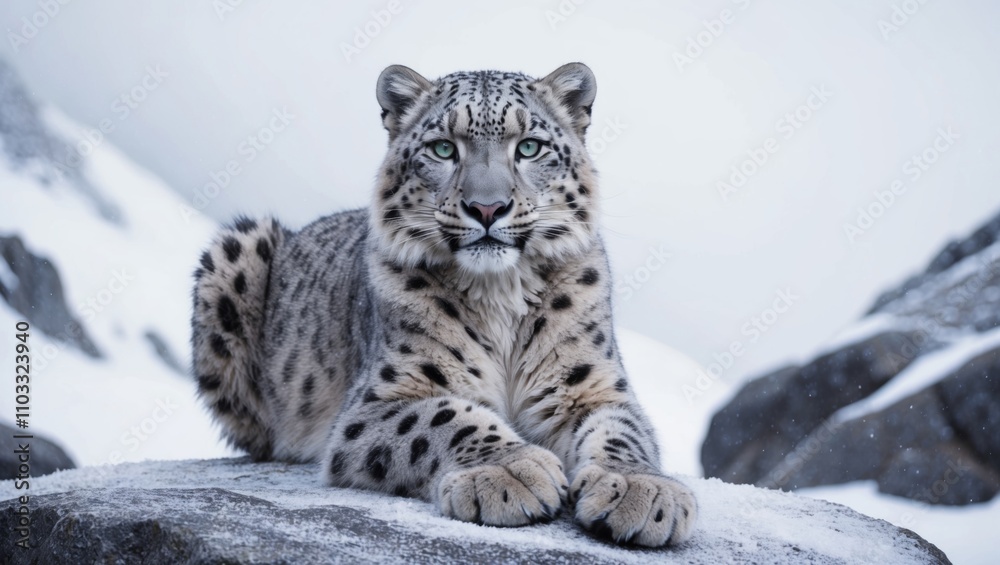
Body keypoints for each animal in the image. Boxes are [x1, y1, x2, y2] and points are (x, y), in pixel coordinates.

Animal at [190, 63, 697, 547]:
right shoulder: (377, 401)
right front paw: (510, 470)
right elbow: (443, 417)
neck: (501, 297)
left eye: (529, 147)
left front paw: (641, 489)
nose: (487, 208)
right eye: (442, 149)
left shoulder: (589, 383)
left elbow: (622, 430)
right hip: (233, 252)